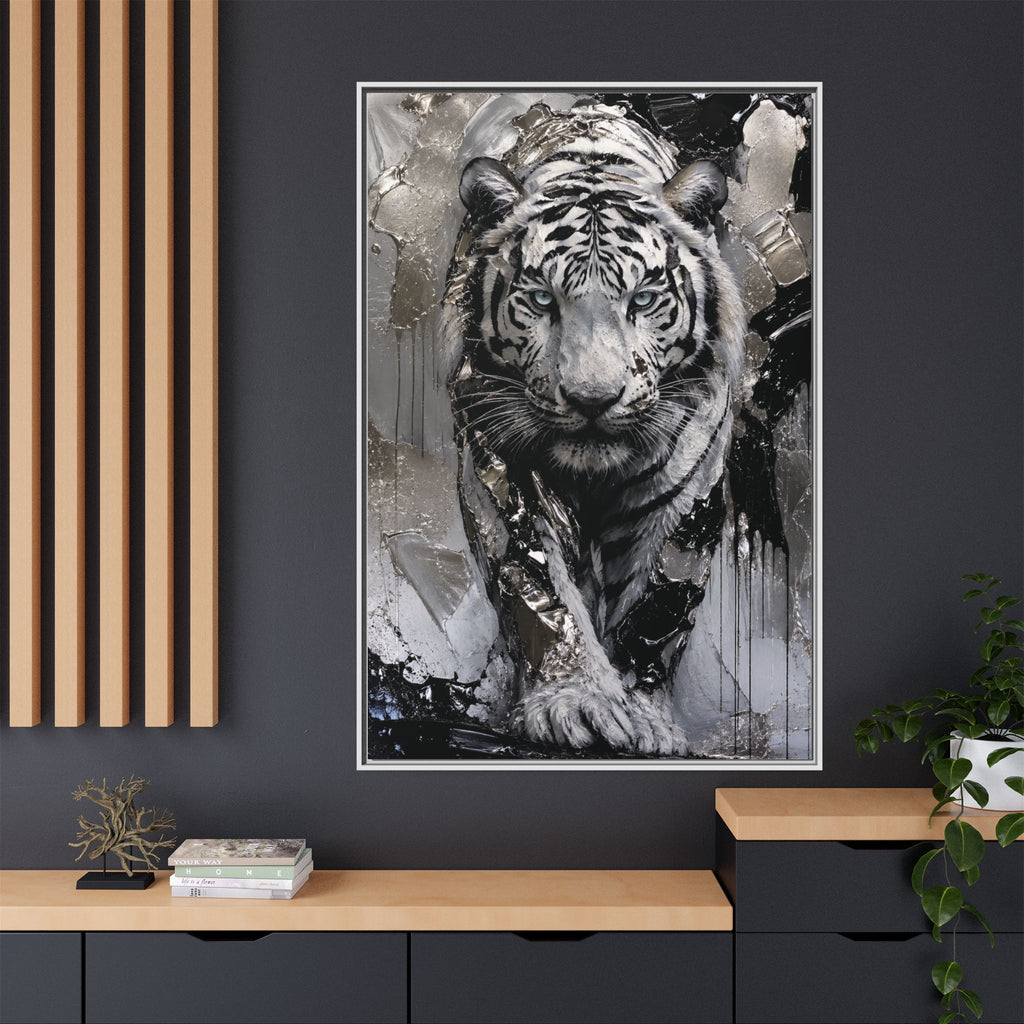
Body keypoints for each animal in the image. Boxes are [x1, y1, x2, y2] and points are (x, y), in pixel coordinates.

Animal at [442, 104, 747, 756]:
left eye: (645, 299)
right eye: (540, 299)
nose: (591, 399)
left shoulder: (686, 492)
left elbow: (656, 605)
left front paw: (646, 717)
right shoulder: (502, 473)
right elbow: (539, 587)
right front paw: (575, 704)